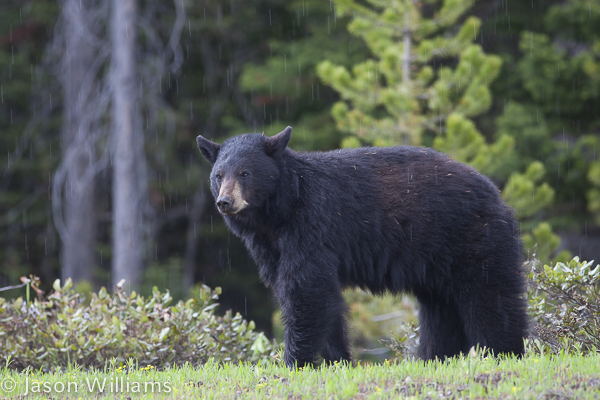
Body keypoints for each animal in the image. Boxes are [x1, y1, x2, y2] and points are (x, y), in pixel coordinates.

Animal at [195, 126, 528, 368]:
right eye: (218, 175)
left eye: (245, 173)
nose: (225, 202)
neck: (280, 211)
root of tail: (497, 195)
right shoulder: (270, 247)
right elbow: (308, 293)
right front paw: (337, 361)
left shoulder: (312, 226)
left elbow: (307, 290)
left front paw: (294, 362)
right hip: (439, 260)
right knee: (441, 309)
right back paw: (435, 357)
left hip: (472, 238)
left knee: (491, 298)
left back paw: (504, 352)